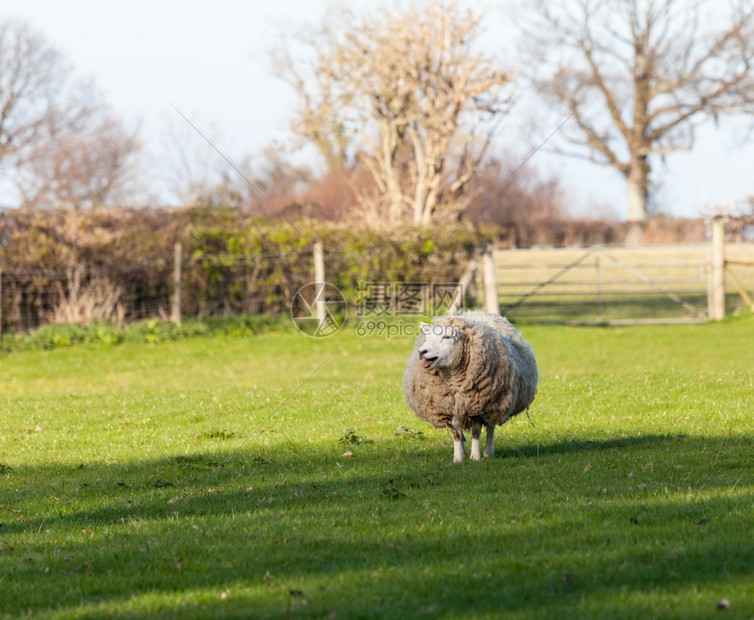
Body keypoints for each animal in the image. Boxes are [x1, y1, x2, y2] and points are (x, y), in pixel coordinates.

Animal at [400, 310, 536, 460]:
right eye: (427, 337)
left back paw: (488, 452)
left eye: (446, 337)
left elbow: (476, 432)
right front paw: (458, 458)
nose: (422, 352)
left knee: (490, 427)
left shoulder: (477, 407)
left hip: (495, 403)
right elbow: (456, 434)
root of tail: (476, 312)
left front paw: (475, 457)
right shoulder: (447, 408)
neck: (453, 379)